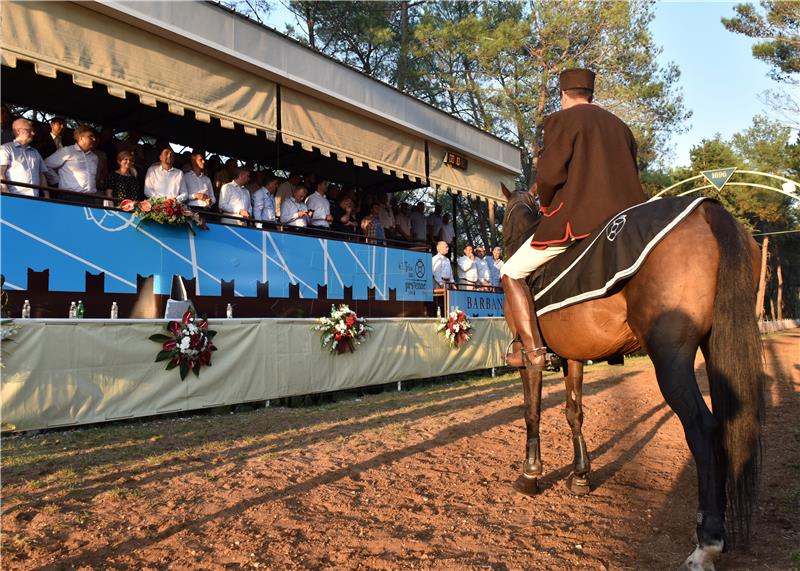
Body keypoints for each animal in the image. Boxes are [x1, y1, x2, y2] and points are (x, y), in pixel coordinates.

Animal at [504, 184, 764, 571]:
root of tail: (706, 209)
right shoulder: (574, 357)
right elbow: (574, 412)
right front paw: (580, 477)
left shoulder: (529, 358)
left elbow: (532, 412)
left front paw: (530, 475)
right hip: (716, 344)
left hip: (670, 357)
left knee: (703, 429)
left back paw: (707, 544)